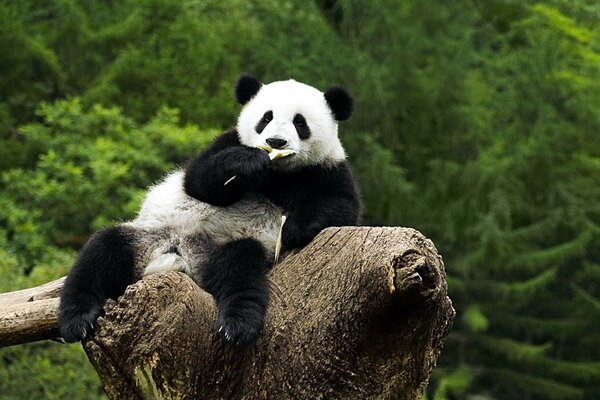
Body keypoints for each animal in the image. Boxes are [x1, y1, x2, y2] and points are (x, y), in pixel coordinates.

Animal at [59, 75, 360, 344]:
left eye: (299, 122)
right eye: (266, 118)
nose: (275, 142)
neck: (278, 173)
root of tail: (179, 257)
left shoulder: (327, 169)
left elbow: (341, 208)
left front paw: (294, 228)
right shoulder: (227, 142)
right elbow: (198, 180)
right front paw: (247, 163)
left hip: (225, 248)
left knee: (240, 269)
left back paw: (238, 325)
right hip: (147, 236)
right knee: (101, 253)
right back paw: (77, 319)